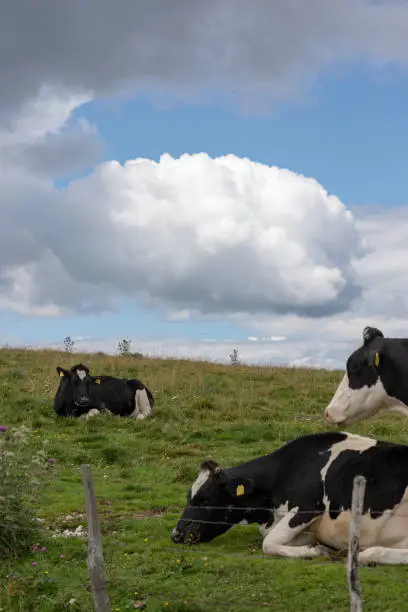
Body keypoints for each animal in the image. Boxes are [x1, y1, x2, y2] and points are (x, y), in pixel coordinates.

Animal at [171, 430, 408, 564]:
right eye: (189, 498)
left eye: (205, 499)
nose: (176, 535)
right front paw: (314, 546)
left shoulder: (307, 507)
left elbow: (268, 543)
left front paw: (317, 552)